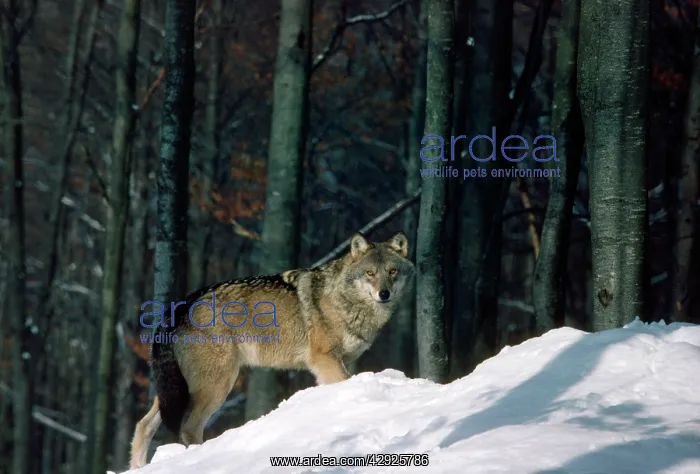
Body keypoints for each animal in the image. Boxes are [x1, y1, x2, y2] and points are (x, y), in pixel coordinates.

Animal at [129, 231, 415, 468]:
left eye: (392, 271)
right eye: (370, 273)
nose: (384, 294)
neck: (345, 299)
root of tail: (180, 304)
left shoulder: (335, 362)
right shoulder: (324, 359)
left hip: (178, 390)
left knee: (144, 424)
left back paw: (138, 466)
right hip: (217, 385)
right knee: (188, 427)